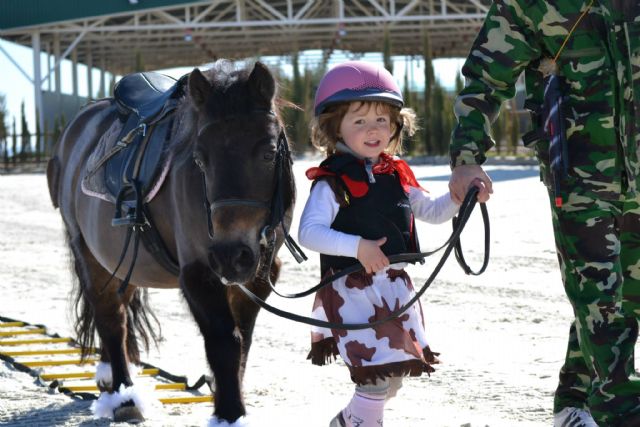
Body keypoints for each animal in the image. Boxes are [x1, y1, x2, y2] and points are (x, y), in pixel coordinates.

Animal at [48, 60, 298, 424]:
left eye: (267, 153)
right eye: (200, 159)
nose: (231, 255)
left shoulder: (260, 275)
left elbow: (244, 341)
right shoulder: (199, 273)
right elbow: (225, 342)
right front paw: (230, 414)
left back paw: (109, 382)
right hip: (87, 252)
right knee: (111, 318)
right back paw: (123, 396)